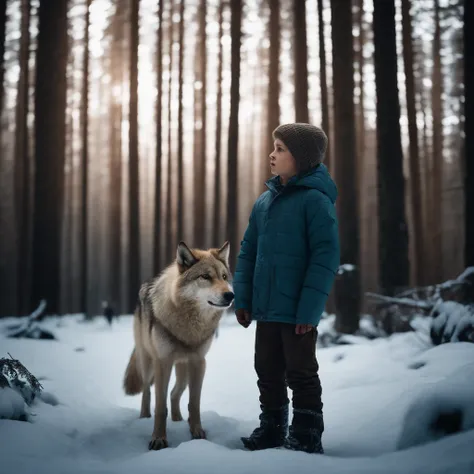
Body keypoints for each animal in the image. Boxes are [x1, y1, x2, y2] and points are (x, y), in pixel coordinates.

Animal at [122, 243, 233, 450]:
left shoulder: (199, 362)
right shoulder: (163, 362)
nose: (230, 295)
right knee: (147, 392)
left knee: (174, 393)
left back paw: (178, 420)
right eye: (205, 277)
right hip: (149, 363)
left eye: (224, 277)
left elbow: (194, 403)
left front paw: (197, 433)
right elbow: (160, 406)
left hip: (184, 369)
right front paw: (158, 439)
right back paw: (144, 417)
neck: (188, 326)